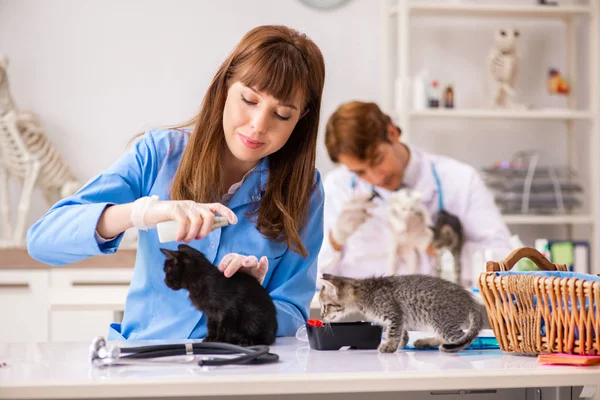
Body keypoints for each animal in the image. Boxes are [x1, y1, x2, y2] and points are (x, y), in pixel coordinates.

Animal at [318, 272, 482, 354]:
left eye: (325, 307)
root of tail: (470, 300)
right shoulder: (399, 317)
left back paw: (452, 348)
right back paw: (425, 342)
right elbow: (401, 331)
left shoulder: (394, 313)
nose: (321, 316)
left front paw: (390, 345)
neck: (364, 292)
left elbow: (393, 331)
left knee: (466, 339)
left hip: (441, 321)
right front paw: (402, 342)